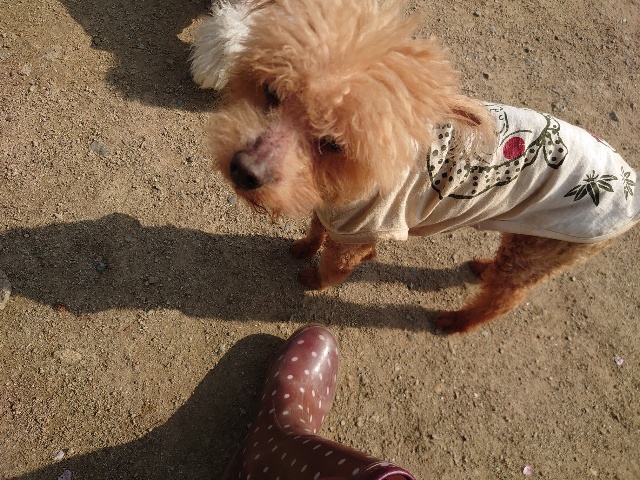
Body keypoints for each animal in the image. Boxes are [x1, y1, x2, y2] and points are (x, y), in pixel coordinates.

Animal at [191, 0, 639, 333]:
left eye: (332, 144)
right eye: (271, 92)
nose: (244, 170)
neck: (343, 184)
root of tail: (629, 180)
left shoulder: (361, 228)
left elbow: (335, 268)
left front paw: (311, 280)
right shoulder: (334, 211)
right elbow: (317, 227)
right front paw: (302, 247)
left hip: (546, 247)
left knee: (505, 298)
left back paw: (456, 321)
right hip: (529, 243)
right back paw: (483, 268)